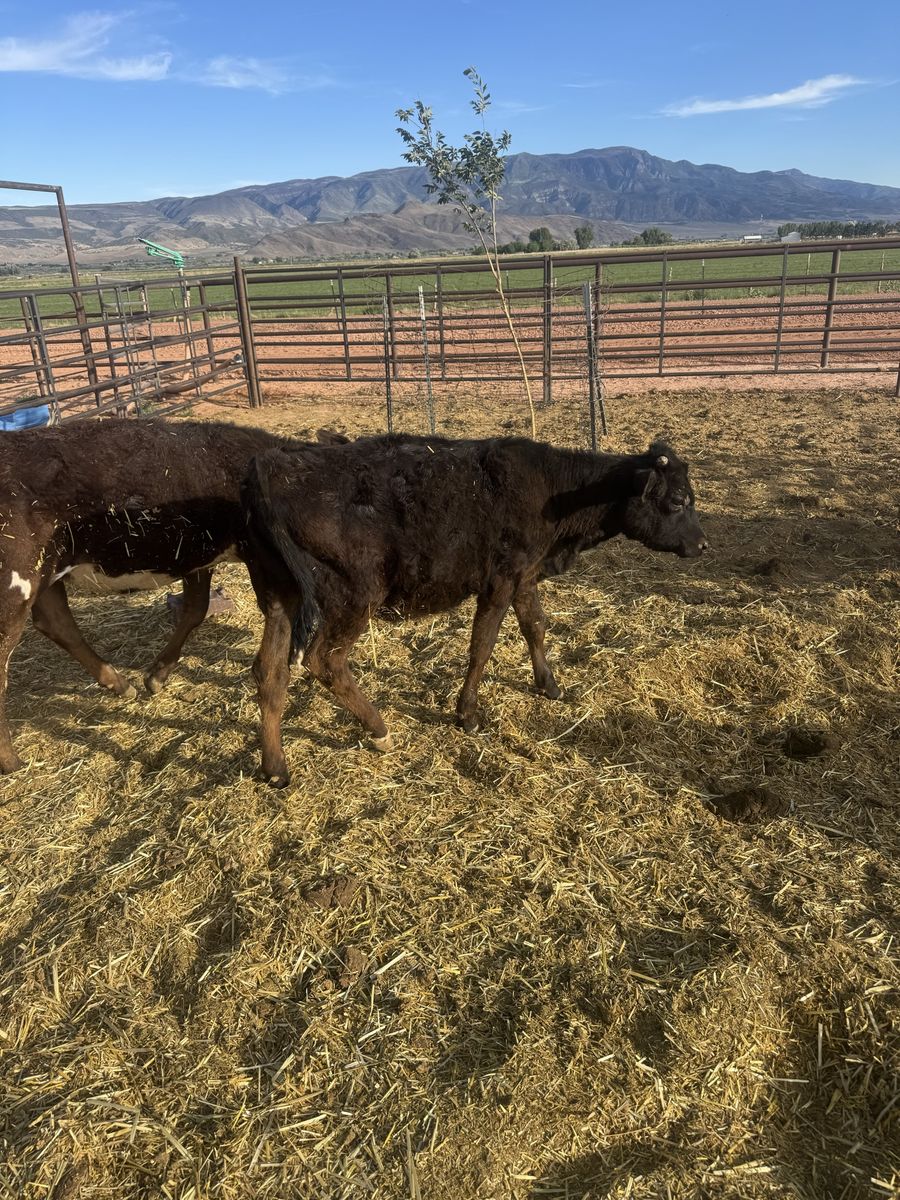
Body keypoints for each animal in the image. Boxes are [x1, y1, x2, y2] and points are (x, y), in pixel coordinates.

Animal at [240, 434, 708, 785]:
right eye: (677, 500)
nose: (703, 545)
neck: (552, 491)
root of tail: (274, 466)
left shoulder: (524, 574)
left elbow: (535, 625)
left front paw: (549, 685)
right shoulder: (499, 580)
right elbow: (482, 646)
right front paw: (467, 714)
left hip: (280, 597)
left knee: (270, 672)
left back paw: (275, 766)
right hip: (354, 595)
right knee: (326, 661)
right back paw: (379, 729)